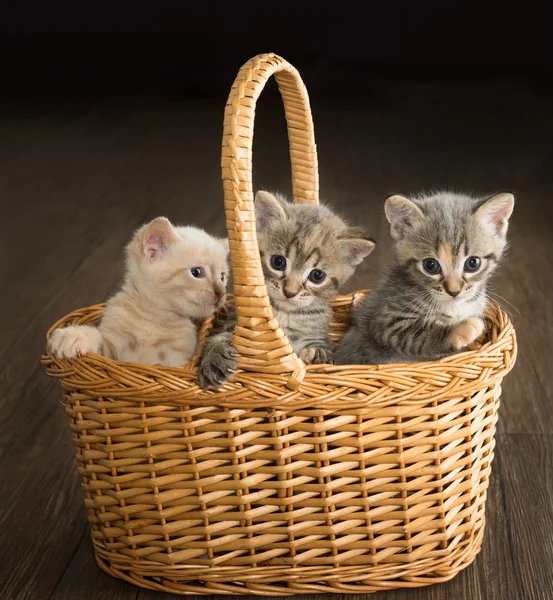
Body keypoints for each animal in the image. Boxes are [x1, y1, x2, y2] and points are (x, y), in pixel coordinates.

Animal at [48, 216, 229, 366]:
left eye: (222, 277)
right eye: (196, 272)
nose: (221, 293)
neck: (155, 317)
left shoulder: (177, 363)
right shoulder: (115, 354)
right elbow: (100, 341)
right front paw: (73, 336)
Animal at [198, 192, 376, 390]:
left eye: (317, 275)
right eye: (278, 262)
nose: (290, 292)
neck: (286, 314)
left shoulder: (316, 335)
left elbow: (322, 352)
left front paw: (318, 357)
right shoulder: (238, 323)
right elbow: (217, 338)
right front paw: (214, 358)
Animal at [334, 191, 516, 366]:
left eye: (473, 263)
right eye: (430, 265)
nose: (454, 291)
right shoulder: (387, 320)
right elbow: (420, 334)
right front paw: (461, 329)